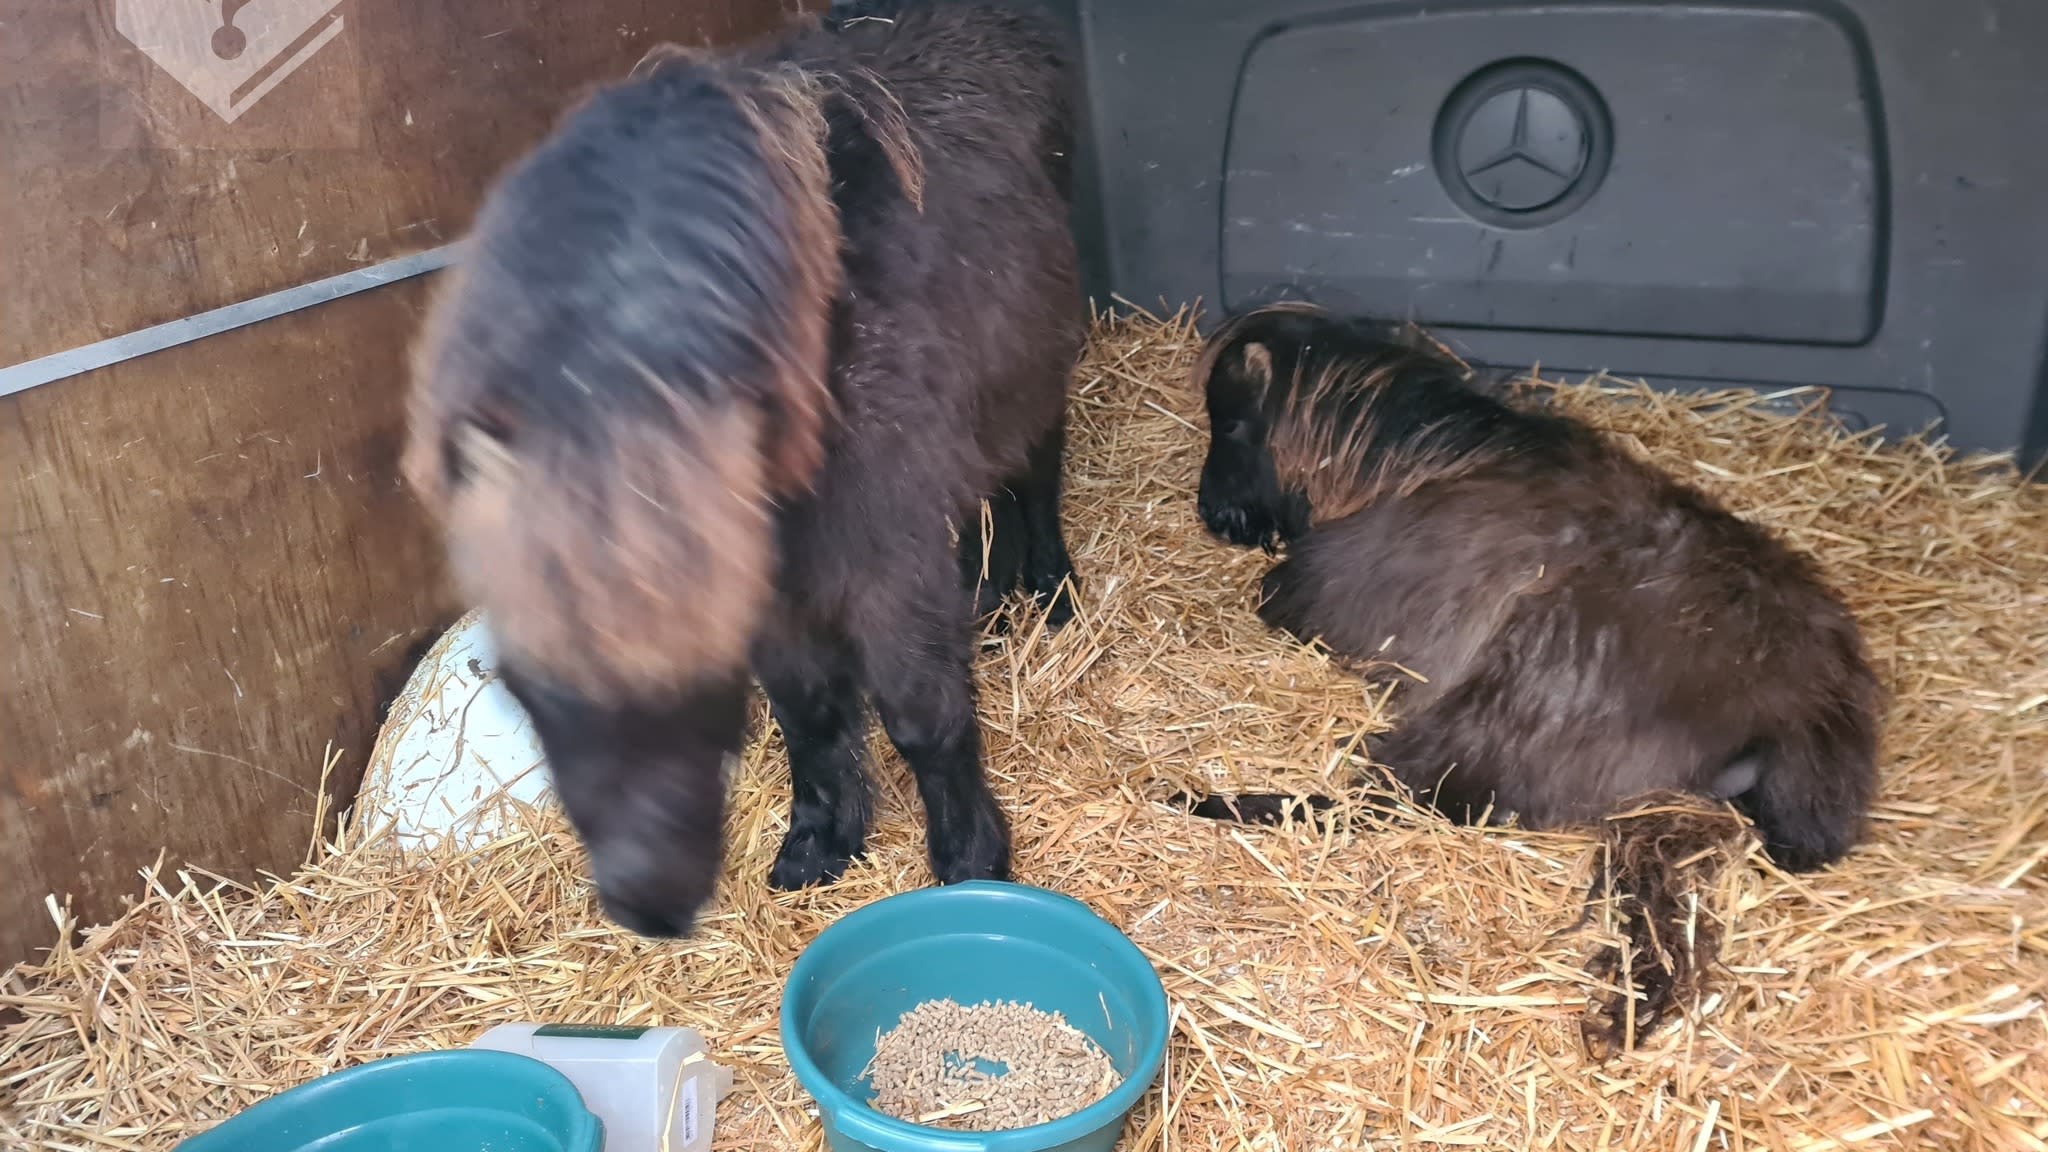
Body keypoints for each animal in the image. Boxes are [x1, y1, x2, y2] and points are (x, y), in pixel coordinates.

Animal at [399, 0, 1089, 934]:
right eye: (524, 693)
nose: (649, 906)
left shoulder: (886, 557)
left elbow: (920, 713)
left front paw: (970, 857)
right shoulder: (778, 593)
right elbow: (811, 713)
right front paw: (820, 841)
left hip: (1035, 365)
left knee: (1035, 469)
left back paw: (1050, 588)